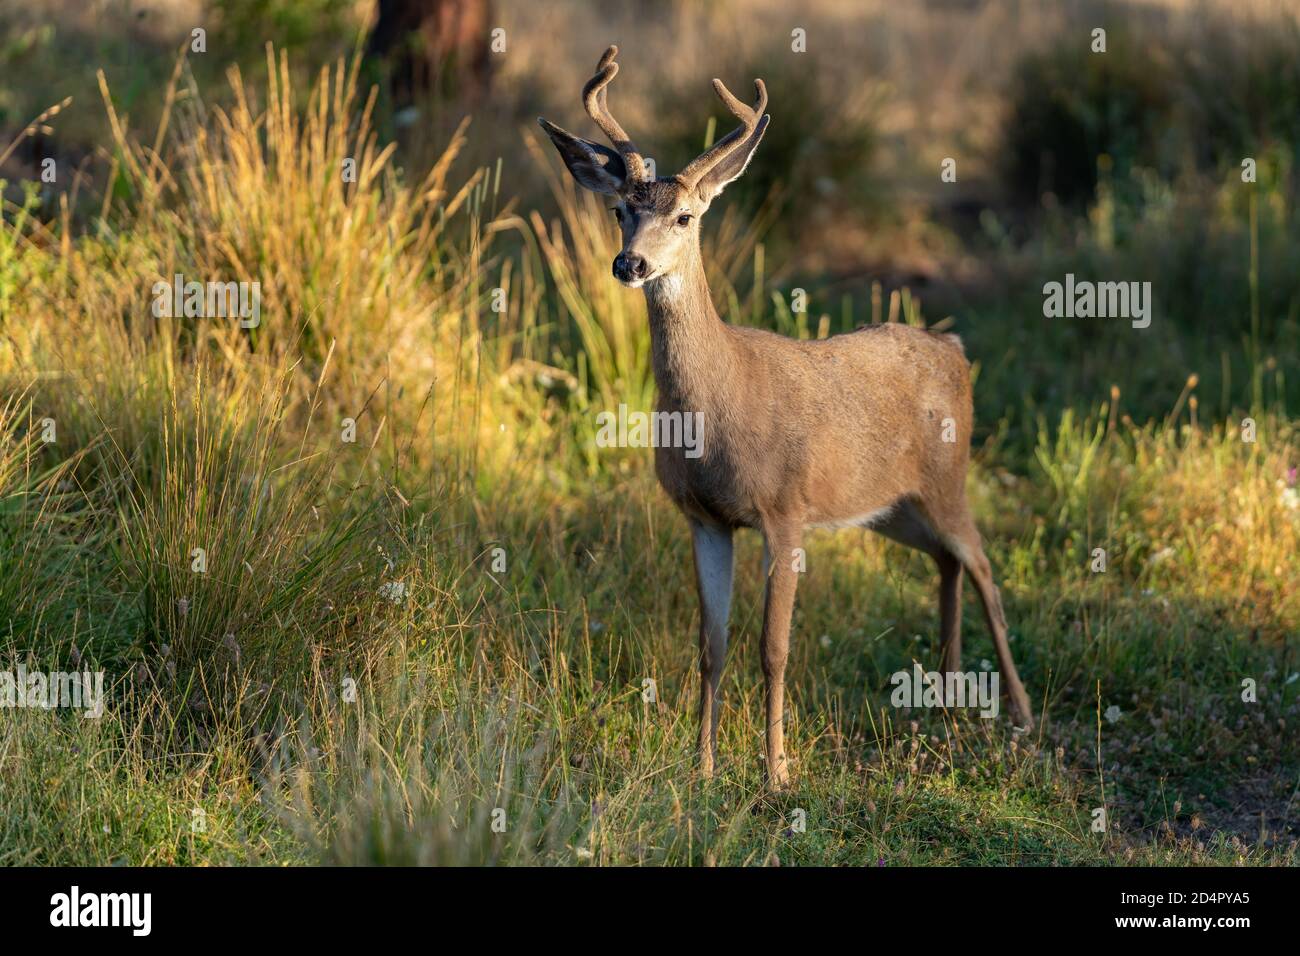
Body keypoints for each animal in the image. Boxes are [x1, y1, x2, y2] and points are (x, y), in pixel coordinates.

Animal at [538, 44, 1034, 790]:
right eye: (622, 209)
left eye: (685, 218)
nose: (630, 264)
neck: (717, 408)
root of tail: (953, 348)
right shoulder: (705, 518)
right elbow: (710, 645)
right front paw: (704, 767)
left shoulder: (786, 510)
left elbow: (773, 649)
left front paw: (775, 772)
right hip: (892, 506)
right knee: (948, 563)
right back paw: (946, 700)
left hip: (948, 479)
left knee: (984, 568)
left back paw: (1021, 715)